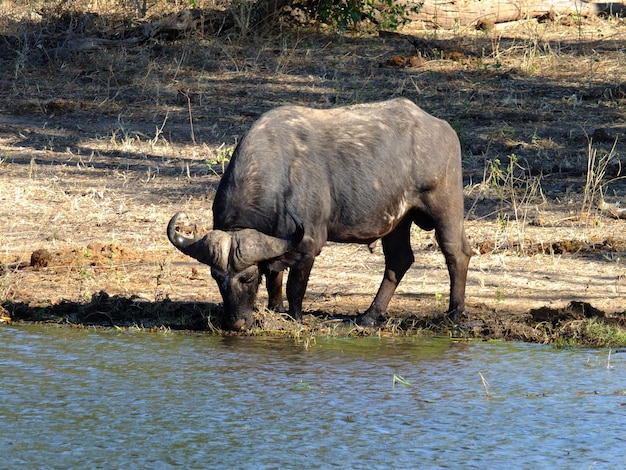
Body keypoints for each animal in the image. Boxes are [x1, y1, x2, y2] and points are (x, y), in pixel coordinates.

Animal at [168, 96, 470, 330]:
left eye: (247, 278)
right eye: (217, 278)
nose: (235, 323)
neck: (278, 176)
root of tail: (441, 128)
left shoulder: (307, 247)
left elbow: (295, 287)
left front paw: (294, 317)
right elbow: (275, 279)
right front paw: (275, 310)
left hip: (446, 206)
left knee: (456, 252)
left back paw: (454, 313)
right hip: (397, 221)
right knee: (399, 259)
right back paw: (370, 316)